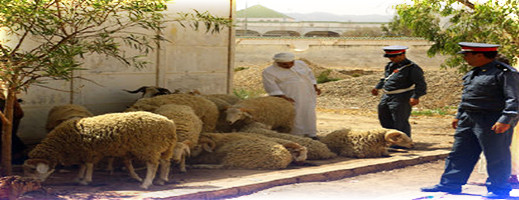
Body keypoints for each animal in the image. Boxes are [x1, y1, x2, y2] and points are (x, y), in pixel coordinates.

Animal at [23, 111, 178, 190]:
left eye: (33, 170)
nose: (35, 184)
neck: (62, 144)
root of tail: (169, 123)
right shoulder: (82, 152)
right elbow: (83, 165)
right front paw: (79, 178)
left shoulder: (89, 151)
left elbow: (88, 165)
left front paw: (85, 180)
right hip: (166, 147)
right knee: (165, 163)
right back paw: (162, 180)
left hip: (149, 148)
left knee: (153, 165)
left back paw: (146, 183)